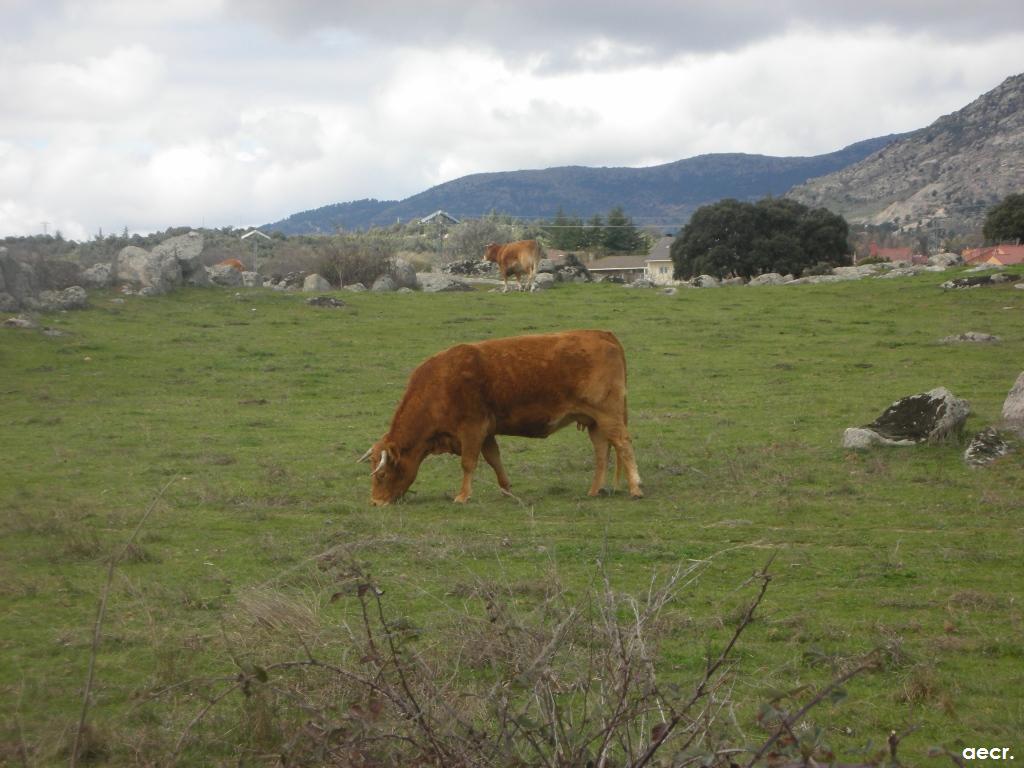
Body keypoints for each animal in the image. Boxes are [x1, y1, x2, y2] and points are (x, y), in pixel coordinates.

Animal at [356, 329, 634, 505]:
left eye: (381, 475)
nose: (375, 502)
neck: (440, 383)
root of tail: (601, 334)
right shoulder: (487, 433)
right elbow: (494, 460)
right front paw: (507, 490)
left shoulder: (472, 429)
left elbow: (468, 463)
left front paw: (463, 496)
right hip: (594, 422)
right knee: (602, 452)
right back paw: (594, 490)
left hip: (609, 416)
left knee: (623, 445)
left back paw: (635, 488)